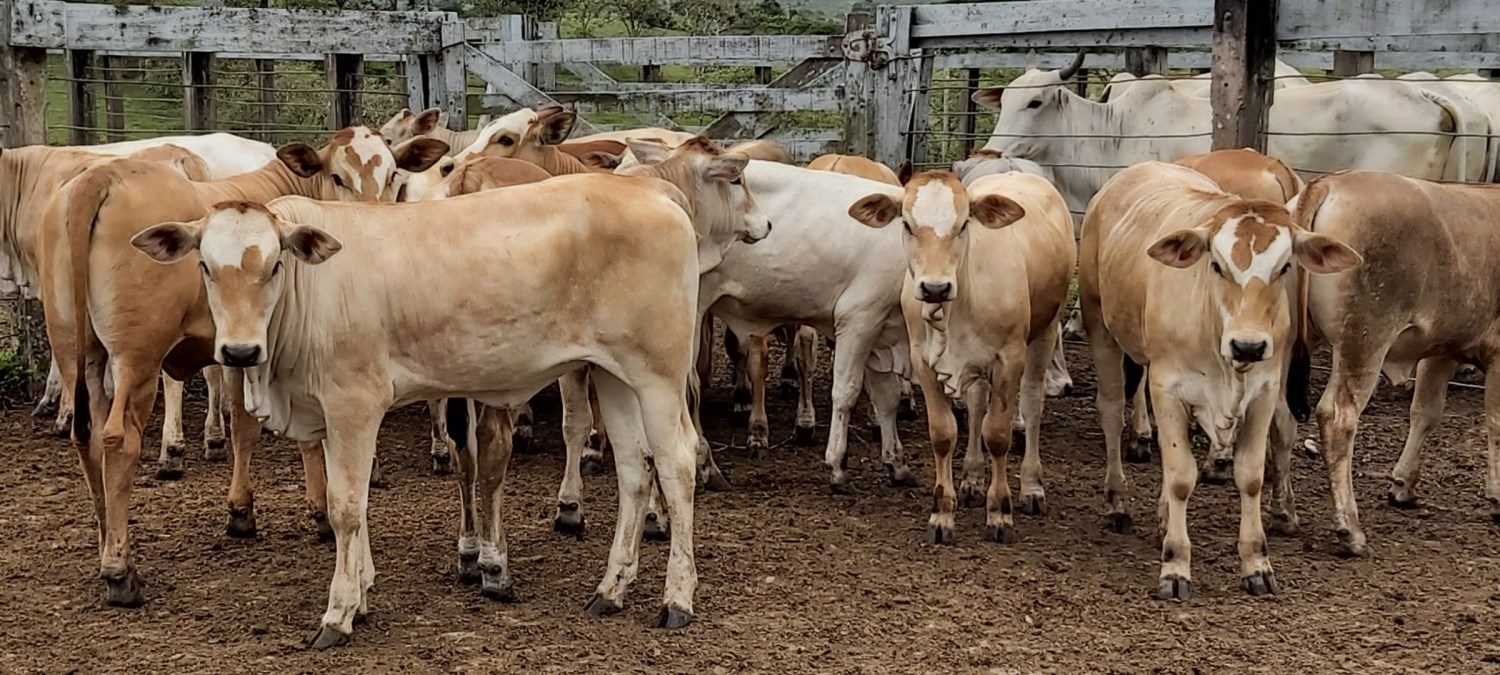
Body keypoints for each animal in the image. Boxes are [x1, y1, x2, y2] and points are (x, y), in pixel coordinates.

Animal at [38, 126, 441, 606]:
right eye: (337, 176)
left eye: (392, 175)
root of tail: (100, 177)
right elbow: (288, 434)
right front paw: (315, 511)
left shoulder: (242, 351)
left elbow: (245, 427)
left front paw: (242, 510)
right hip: (137, 355)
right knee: (118, 440)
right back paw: (120, 571)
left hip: (76, 349)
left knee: (89, 437)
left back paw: (106, 542)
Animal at [132, 167, 705, 642]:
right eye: (205, 266)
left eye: (274, 265)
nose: (239, 352)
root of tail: (650, 188)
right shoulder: (335, 414)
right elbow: (356, 501)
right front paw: (362, 593)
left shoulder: (354, 404)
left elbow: (345, 506)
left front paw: (339, 612)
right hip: (614, 374)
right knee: (634, 470)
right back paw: (610, 590)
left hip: (658, 375)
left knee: (677, 465)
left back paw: (677, 600)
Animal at [852, 170, 1074, 543]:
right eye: (907, 224)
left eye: (963, 223)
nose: (935, 288)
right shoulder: (923, 362)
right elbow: (944, 433)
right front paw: (942, 513)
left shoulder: (1009, 359)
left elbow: (997, 434)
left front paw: (1000, 512)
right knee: (977, 405)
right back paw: (971, 479)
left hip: (1045, 330)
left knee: (1031, 404)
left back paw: (1032, 487)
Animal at [1080, 160, 1362, 600]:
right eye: (1216, 263)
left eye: (1285, 266)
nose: (1248, 345)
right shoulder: (1165, 386)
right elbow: (1181, 476)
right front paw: (1175, 566)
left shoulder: (1265, 392)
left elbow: (1250, 476)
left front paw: (1257, 563)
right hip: (1100, 326)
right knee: (1110, 413)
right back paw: (1118, 500)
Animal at [1290, 171, 1500, 555]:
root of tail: (1329, 182)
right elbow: (1494, 422)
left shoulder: (1441, 350)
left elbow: (1425, 412)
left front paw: (1403, 486)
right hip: (1365, 339)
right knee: (1338, 417)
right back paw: (1351, 530)